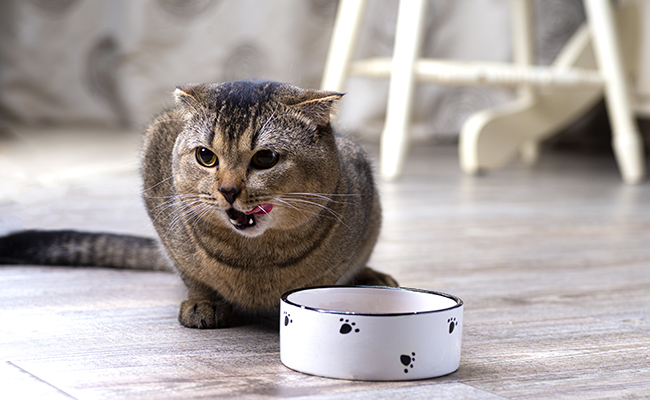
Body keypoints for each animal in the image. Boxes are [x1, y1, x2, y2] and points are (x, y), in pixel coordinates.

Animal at [0, 80, 394, 328]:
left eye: (265, 158)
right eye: (206, 156)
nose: (228, 189)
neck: (257, 261)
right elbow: (191, 272)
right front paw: (203, 301)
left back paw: (373, 277)